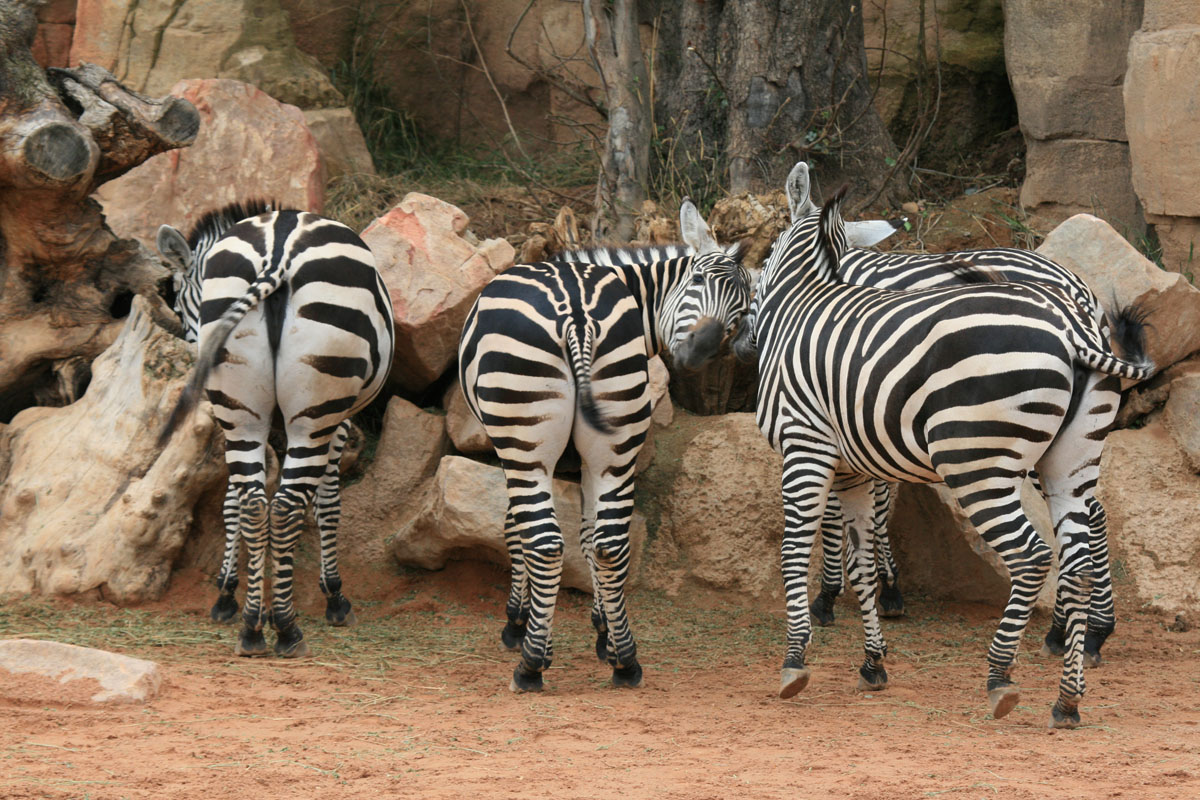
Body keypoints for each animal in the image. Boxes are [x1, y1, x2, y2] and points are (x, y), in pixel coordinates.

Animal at [156, 203, 395, 657]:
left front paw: (228, 593)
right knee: (284, 507)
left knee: (253, 503)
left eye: (176, 301)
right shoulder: (337, 424)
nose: (190, 344)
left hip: (241, 403)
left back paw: (252, 628)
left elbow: (234, 501)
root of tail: (278, 249)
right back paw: (286, 628)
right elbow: (327, 505)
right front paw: (332, 596)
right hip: (316, 409)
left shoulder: (242, 419)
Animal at [458, 199, 752, 692]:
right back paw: (627, 662)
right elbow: (589, 532)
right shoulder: (587, 460)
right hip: (614, 440)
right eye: (696, 281)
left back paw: (531, 665)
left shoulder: (517, 454)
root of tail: (577, 313)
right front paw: (603, 633)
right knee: (611, 543)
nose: (698, 353)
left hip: (524, 442)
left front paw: (519, 623)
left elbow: (515, 528)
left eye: (742, 310)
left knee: (546, 544)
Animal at [740, 167, 1152, 728]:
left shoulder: (806, 446)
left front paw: (798, 655)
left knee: (1032, 554)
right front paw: (872, 657)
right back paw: (1069, 688)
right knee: (1080, 552)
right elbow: (860, 553)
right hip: (1067, 459)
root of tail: (1075, 321)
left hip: (977, 461)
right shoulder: (857, 463)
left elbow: (798, 547)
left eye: (763, 257)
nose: (741, 337)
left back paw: (1002, 675)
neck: (804, 300)